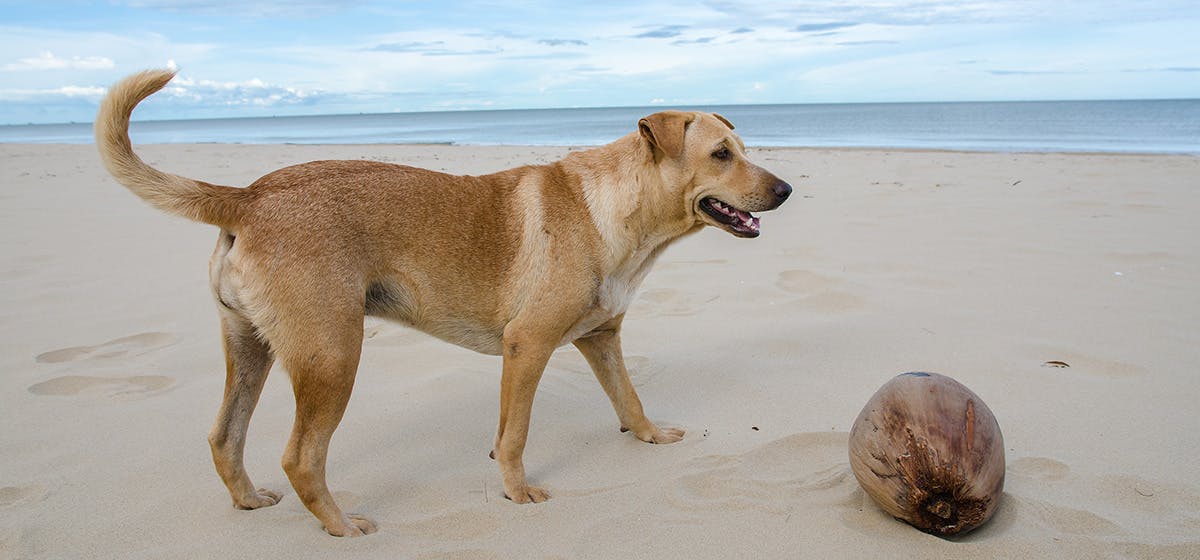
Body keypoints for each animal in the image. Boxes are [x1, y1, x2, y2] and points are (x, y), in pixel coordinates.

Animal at [96, 68, 796, 537]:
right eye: (721, 154)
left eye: (742, 149)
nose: (787, 190)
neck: (622, 209)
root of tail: (247, 196)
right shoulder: (527, 346)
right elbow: (515, 434)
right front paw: (517, 492)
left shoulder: (602, 339)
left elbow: (628, 398)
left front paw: (648, 436)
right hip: (332, 358)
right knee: (301, 458)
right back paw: (340, 527)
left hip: (251, 350)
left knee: (225, 437)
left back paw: (247, 501)